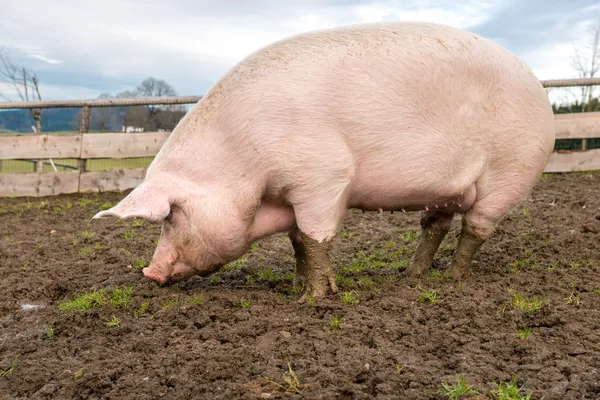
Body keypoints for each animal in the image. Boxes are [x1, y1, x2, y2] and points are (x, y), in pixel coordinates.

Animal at [91, 20, 556, 302]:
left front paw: (313, 298)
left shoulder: (323, 176)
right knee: (435, 224)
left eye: (171, 216)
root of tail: (539, 87)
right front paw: (295, 284)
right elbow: (297, 239)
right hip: (447, 188)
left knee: (477, 227)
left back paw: (451, 280)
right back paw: (411, 277)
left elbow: (317, 236)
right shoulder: (289, 193)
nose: (149, 273)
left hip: (512, 171)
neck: (241, 163)